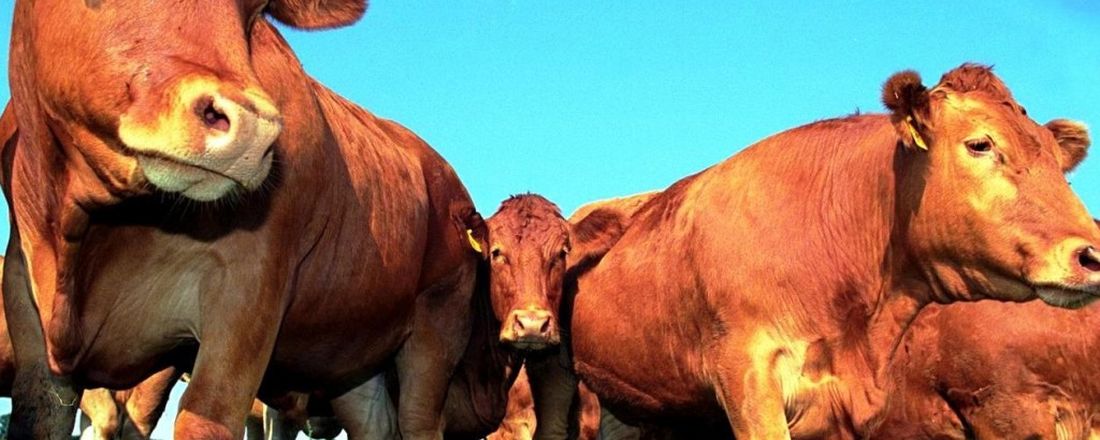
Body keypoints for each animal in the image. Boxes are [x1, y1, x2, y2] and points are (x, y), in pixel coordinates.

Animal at [5, 1, 481, 437]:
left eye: (255, 11)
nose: (254, 131)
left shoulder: (248, 294)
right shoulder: (29, 320)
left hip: (435, 334)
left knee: (418, 420)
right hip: (353, 357)